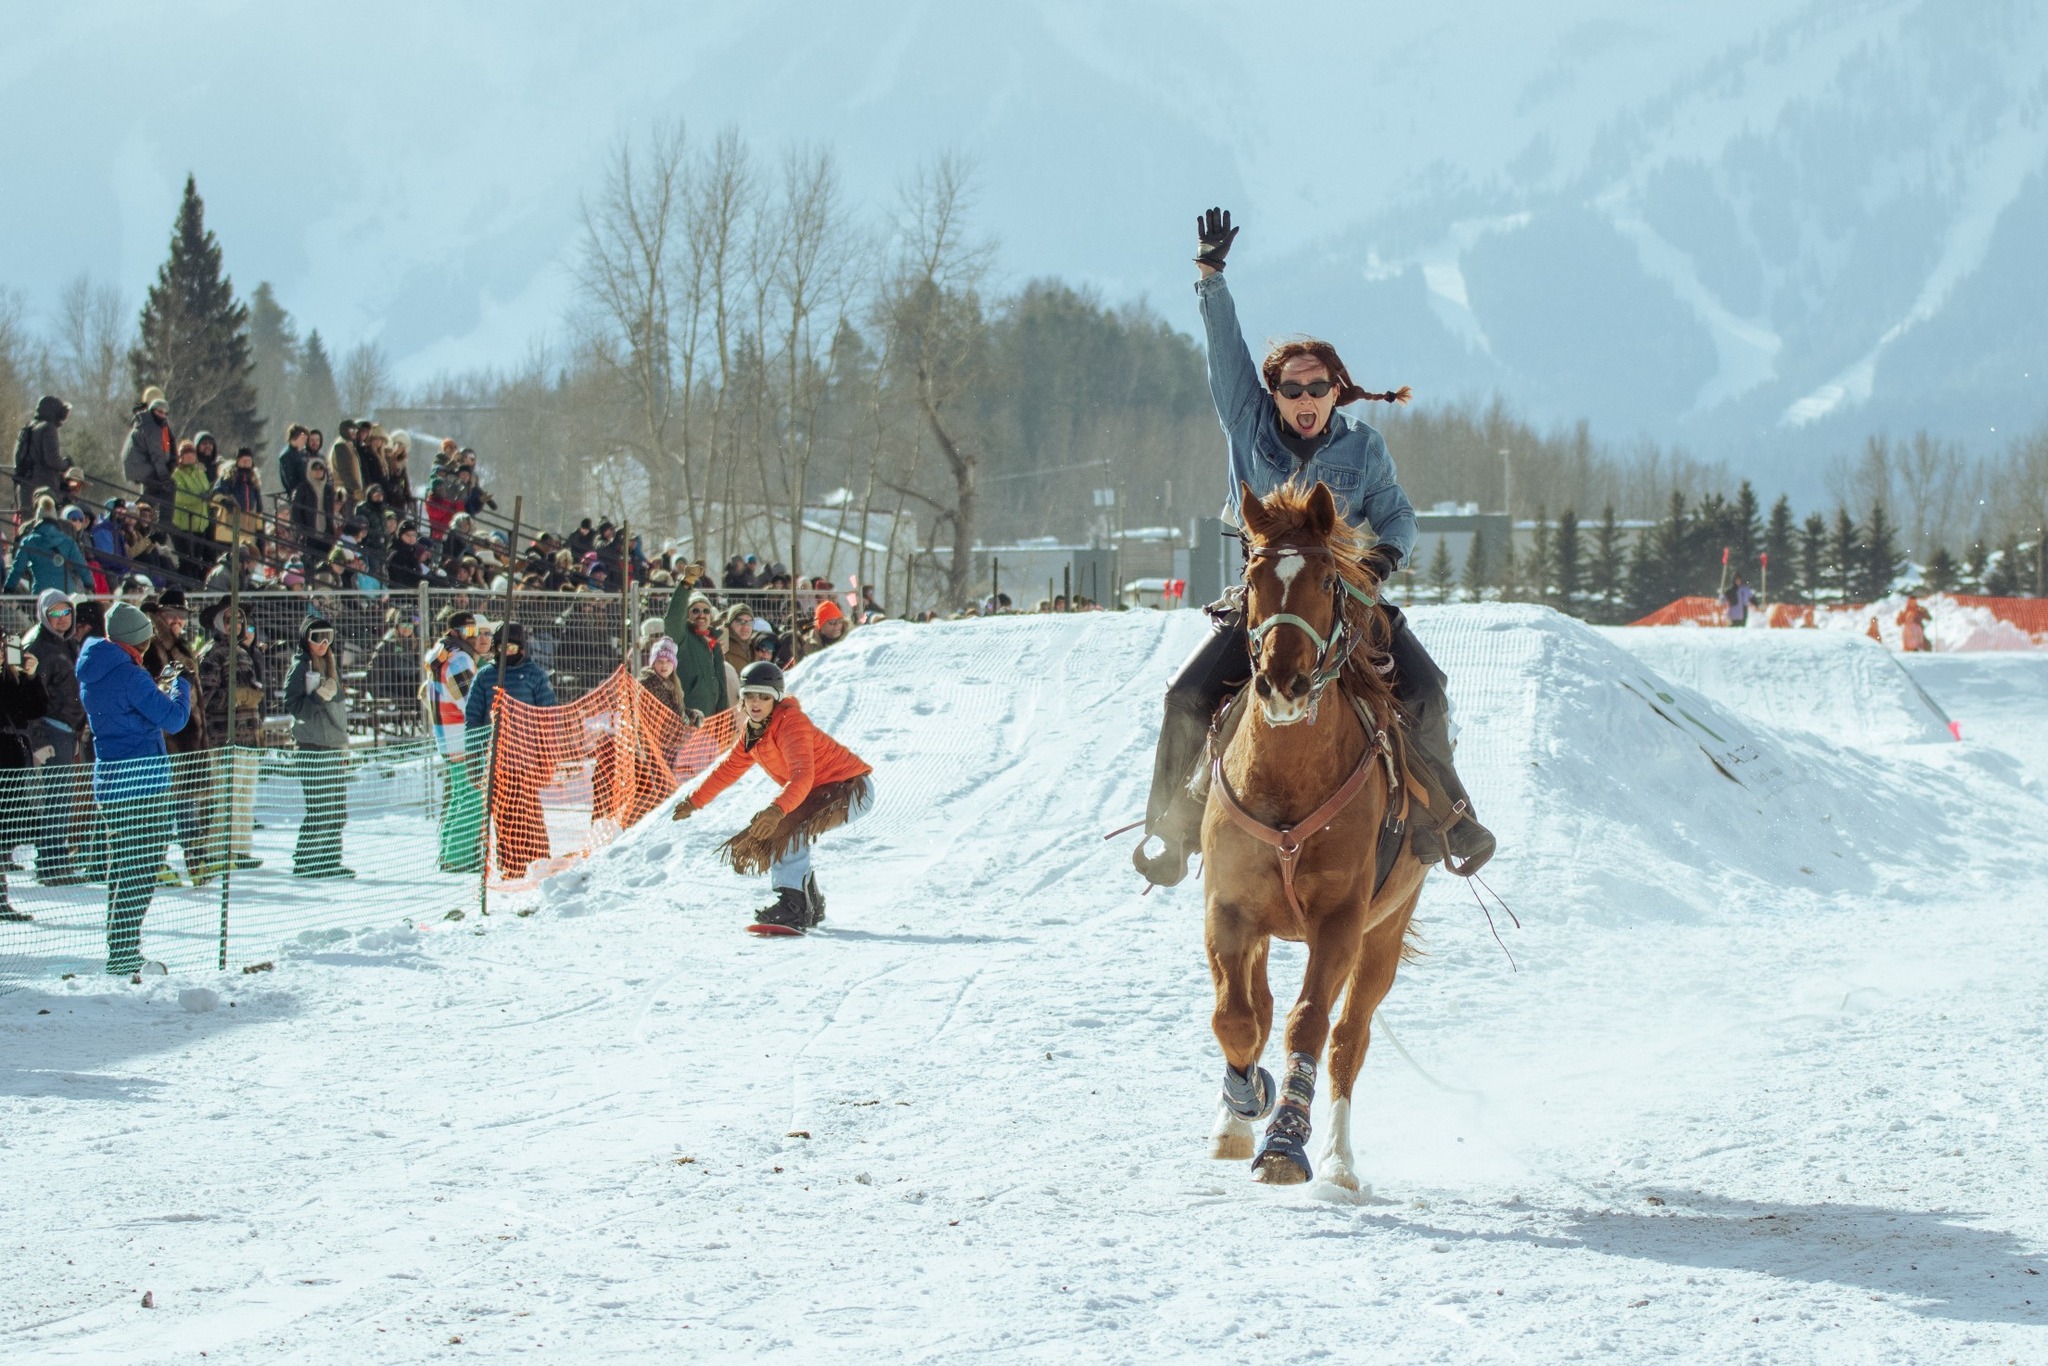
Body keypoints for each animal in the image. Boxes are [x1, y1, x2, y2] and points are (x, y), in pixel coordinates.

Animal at [1201, 479, 1434, 1189]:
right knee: (1257, 1004)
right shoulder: (1228, 906)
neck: (1288, 779)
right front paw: (1246, 1098)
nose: (1284, 683)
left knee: (1348, 1038)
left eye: (1330, 578)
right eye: (1251, 576)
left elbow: (1309, 1023)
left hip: (1384, 932)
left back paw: (1337, 1160)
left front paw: (1286, 1142)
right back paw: (1234, 1119)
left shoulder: (1341, 919)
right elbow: (1237, 1017)